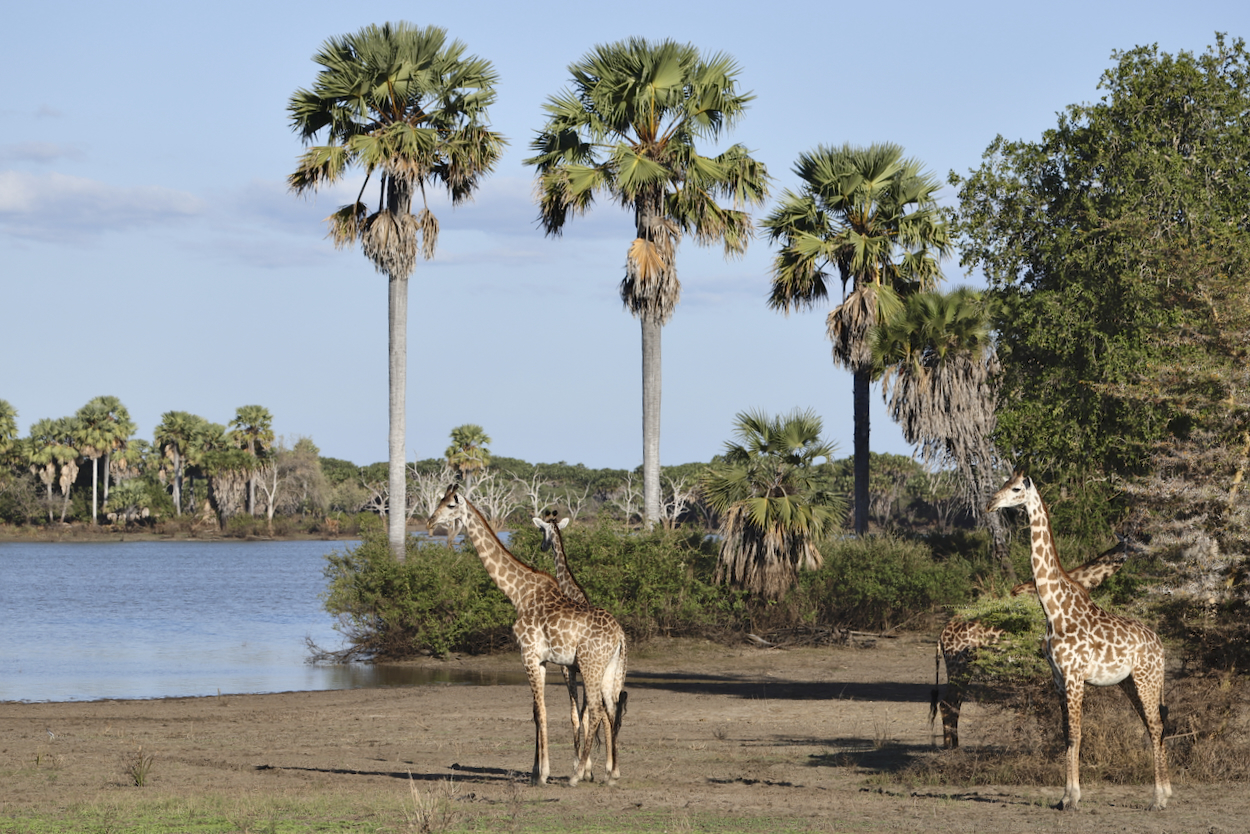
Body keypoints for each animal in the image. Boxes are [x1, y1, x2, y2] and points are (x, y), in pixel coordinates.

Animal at [427, 485, 625, 785]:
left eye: (450, 505)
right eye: (439, 500)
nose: (429, 523)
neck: (518, 593)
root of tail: (620, 636)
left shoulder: (529, 654)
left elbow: (541, 712)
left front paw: (541, 774)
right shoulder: (541, 660)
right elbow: (537, 711)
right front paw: (538, 770)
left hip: (590, 665)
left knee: (595, 709)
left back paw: (577, 774)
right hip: (608, 667)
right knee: (611, 709)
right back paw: (611, 773)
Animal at [935, 535, 1140, 750]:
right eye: (1133, 544)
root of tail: (941, 636)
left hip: (967, 663)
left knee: (953, 701)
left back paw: (954, 744)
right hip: (959, 663)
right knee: (948, 702)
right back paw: (951, 747)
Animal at [985, 472, 1170, 810]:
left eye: (1015, 489)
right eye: (1003, 483)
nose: (990, 503)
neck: (1053, 609)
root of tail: (1161, 645)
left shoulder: (1074, 675)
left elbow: (1076, 734)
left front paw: (1074, 798)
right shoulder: (1058, 677)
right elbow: (1065, 735)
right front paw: (1064, 797)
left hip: (1147, 678)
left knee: (1156, 727)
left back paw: (1158, 799)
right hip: (1130, 682)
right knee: (1154, 727)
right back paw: (1165, 794)